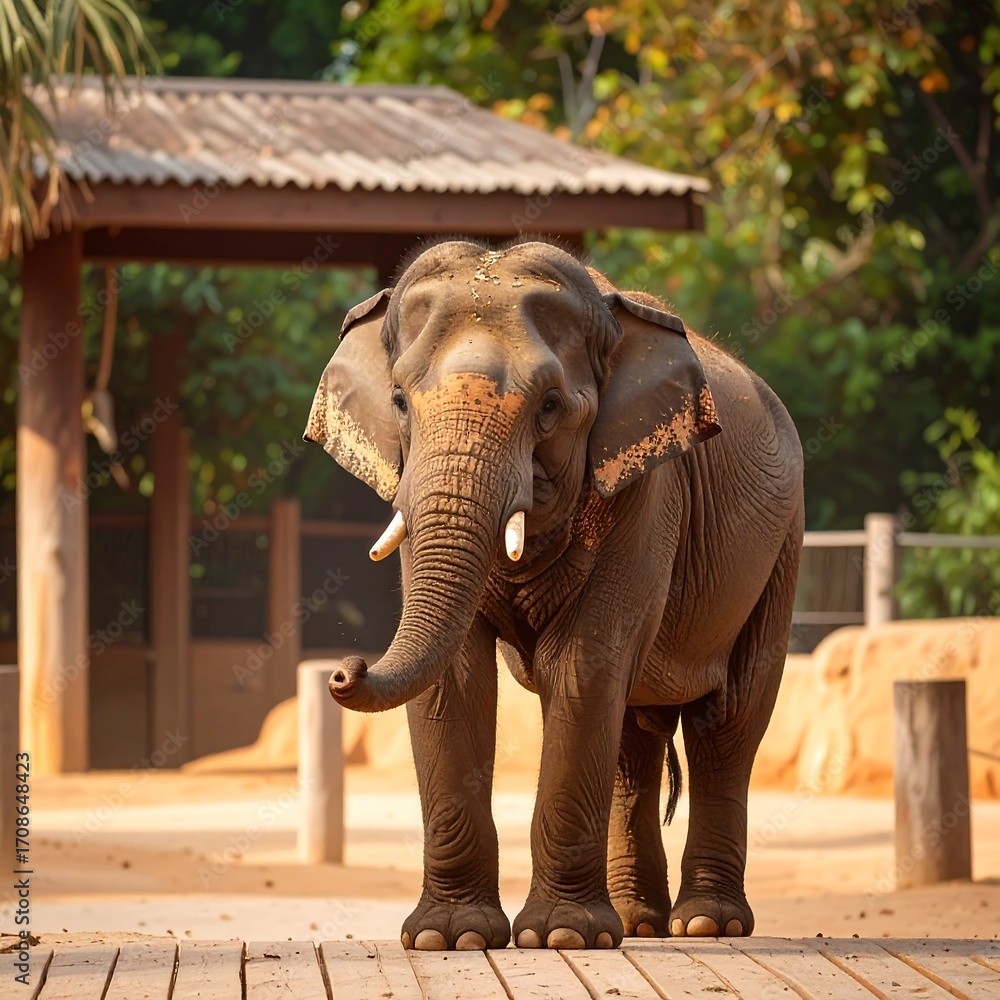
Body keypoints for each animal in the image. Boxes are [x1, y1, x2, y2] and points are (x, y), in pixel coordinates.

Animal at [304, 238, 803, 952]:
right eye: (399, 400)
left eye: (549, 408)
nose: (345, 669)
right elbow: (455, 676)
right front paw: (448, 938)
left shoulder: (647, 489)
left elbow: (583, 663)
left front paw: (562, 937)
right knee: (633, 741)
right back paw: (639, 923)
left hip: (782, 542)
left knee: (727, 720)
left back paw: (706, 924)